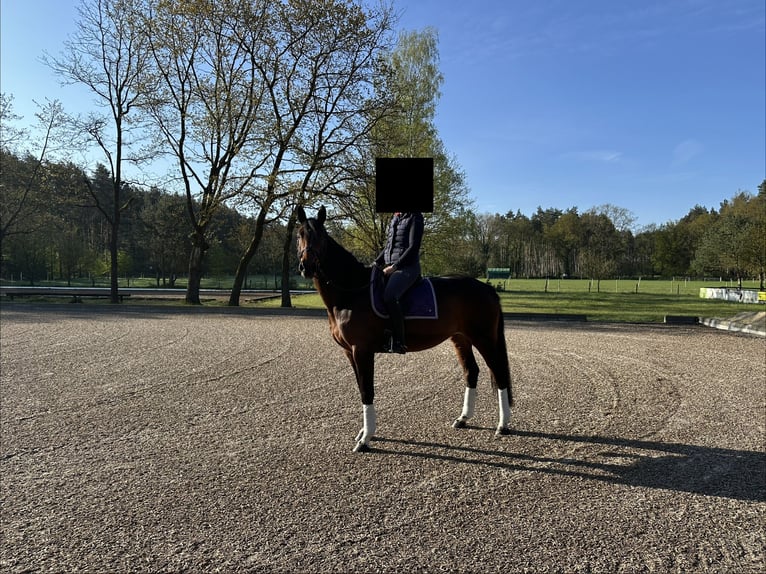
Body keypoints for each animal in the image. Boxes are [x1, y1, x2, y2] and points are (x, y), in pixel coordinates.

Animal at [296, 206, 513, 452]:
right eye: (299, 234)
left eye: (321, 237)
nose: (306, 266)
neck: (352, 292)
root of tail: (487, 289)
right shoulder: (349, 352)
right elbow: (361, 388)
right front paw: (363, 433)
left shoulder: (361, 350)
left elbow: (367, 391)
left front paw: (366, 438)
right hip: (461, 338)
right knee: (472, 371)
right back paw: (463, 419)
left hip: (483, 338)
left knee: (499, 372)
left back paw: (502, 425)